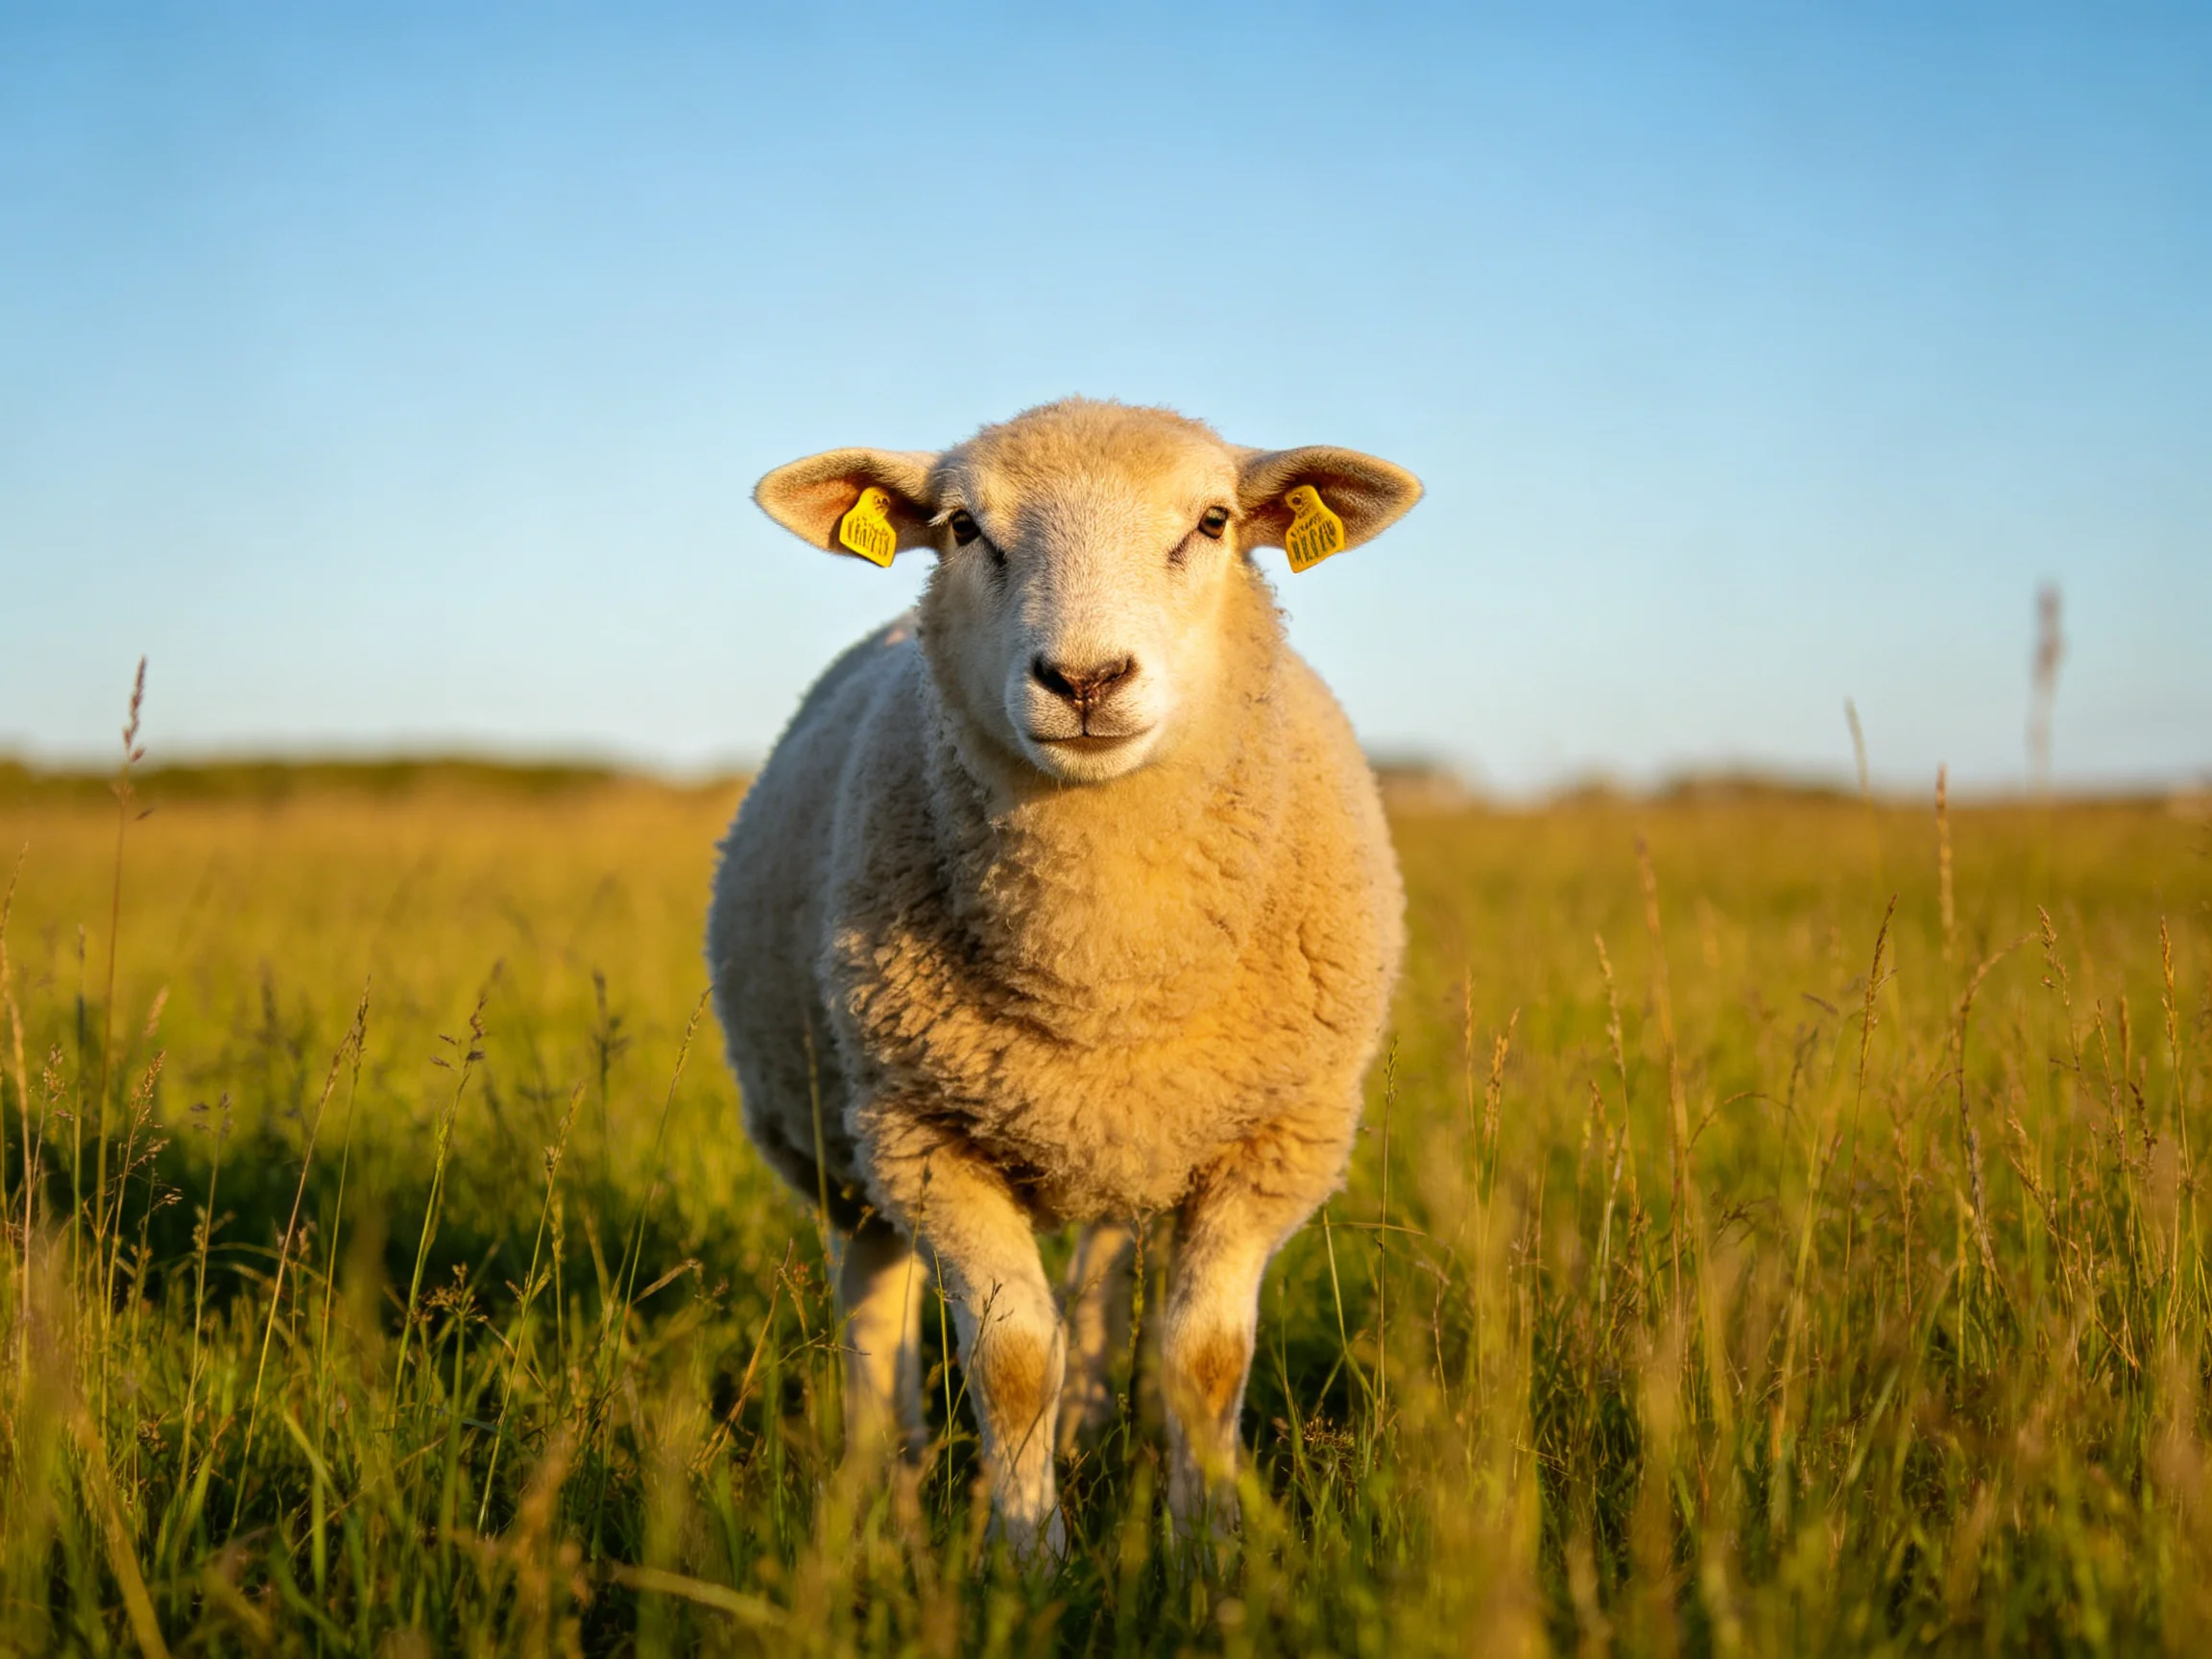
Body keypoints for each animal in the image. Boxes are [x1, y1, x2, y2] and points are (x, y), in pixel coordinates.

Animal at [707, 398, 1421, 1559]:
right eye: (962, 528)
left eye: (1213, 522)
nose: (1085, 681)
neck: (1105, 977)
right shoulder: (924, 1139)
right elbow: (1010, 1360)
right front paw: (1028, 1555)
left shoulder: (1276, 1139)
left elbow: (1203, 1358)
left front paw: (1208, 1545)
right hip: (833, 1136)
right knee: (871, 1290)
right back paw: (883, 1477)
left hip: (1131, 1133)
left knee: (1104, 1253)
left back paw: (1085, 1422)